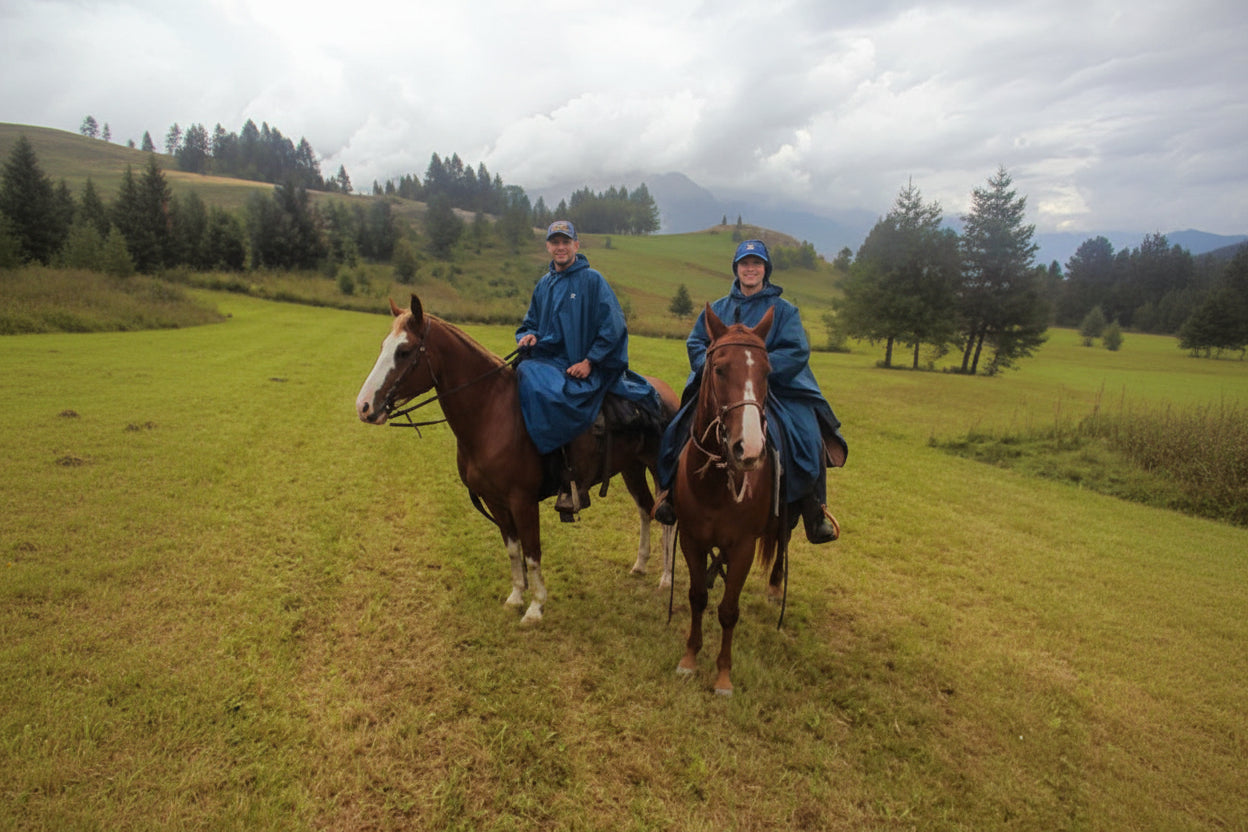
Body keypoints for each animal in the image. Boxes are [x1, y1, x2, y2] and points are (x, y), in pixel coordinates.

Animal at [355, 294, 679, 623]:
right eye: (383, 346)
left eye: (404, 351)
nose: (364, 406)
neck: (492, 413)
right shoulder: (495, 501)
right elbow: (514, 550)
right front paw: (516, 597)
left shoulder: (522, 501)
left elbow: (533, 551)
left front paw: (536, 607)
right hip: (632, 469)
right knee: (646, 509)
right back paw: (640, 564)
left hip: (659, 469)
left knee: (668, 516)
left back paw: (666, 577)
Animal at [671, 303, 789, 696]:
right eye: (720, 369)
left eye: (767, 372)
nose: (748, 450)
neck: (714, 487)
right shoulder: (691, 538)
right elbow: (697, 596)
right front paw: (690, 659)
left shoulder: (743, 548)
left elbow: (728, 610)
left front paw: (723, 675)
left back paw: (775, 586)